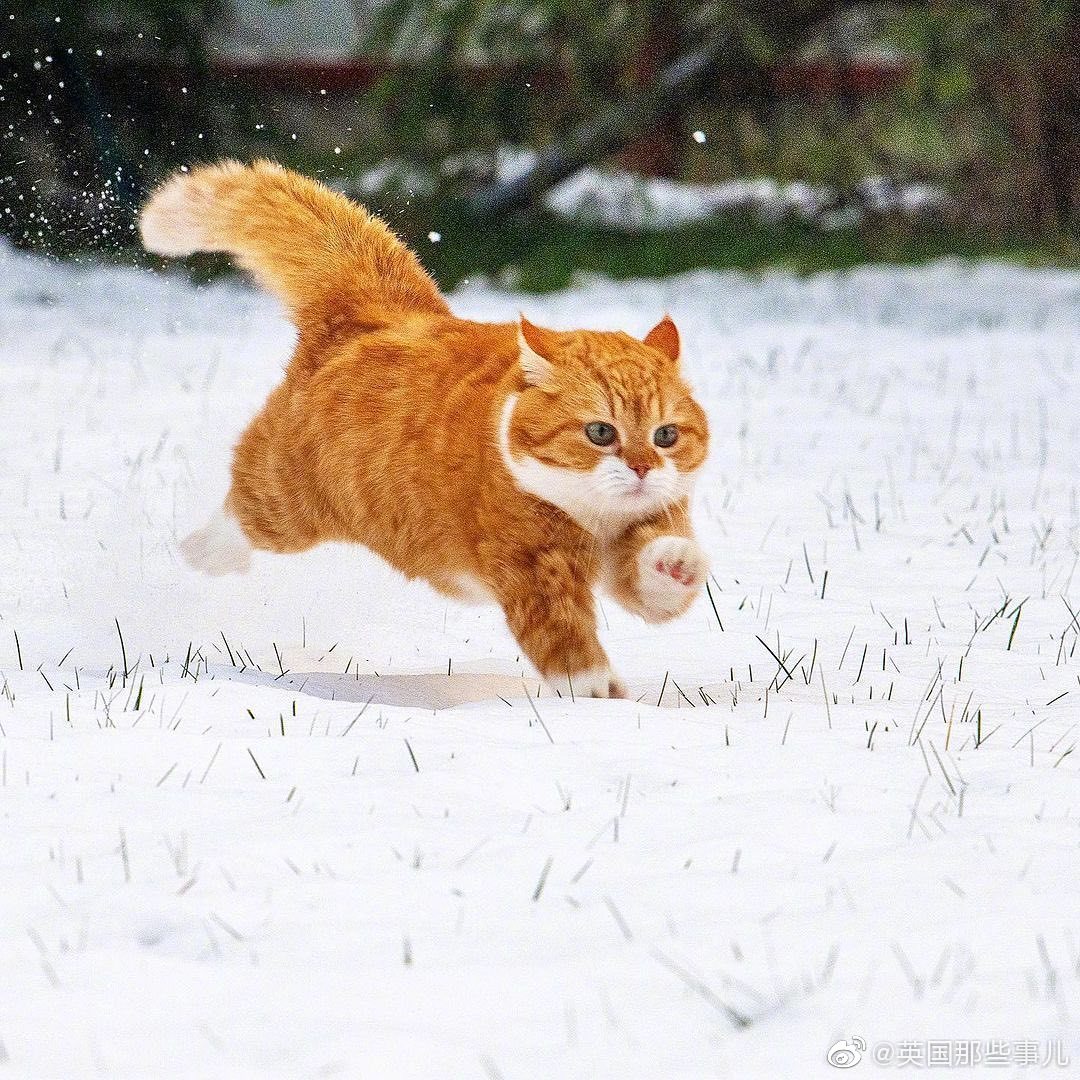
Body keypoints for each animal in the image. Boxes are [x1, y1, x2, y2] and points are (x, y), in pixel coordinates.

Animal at [139, 162, 708, 699]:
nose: (641, 468)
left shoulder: (642, 537)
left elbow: (655, 589)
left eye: (665, 436)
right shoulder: (528, 565)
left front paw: (674, 561)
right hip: (288, 496)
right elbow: (561, 633)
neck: (596, 519)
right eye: (600, 433)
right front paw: (591, 689)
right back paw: (201, 554)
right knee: (242, 510)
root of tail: (381, 313)